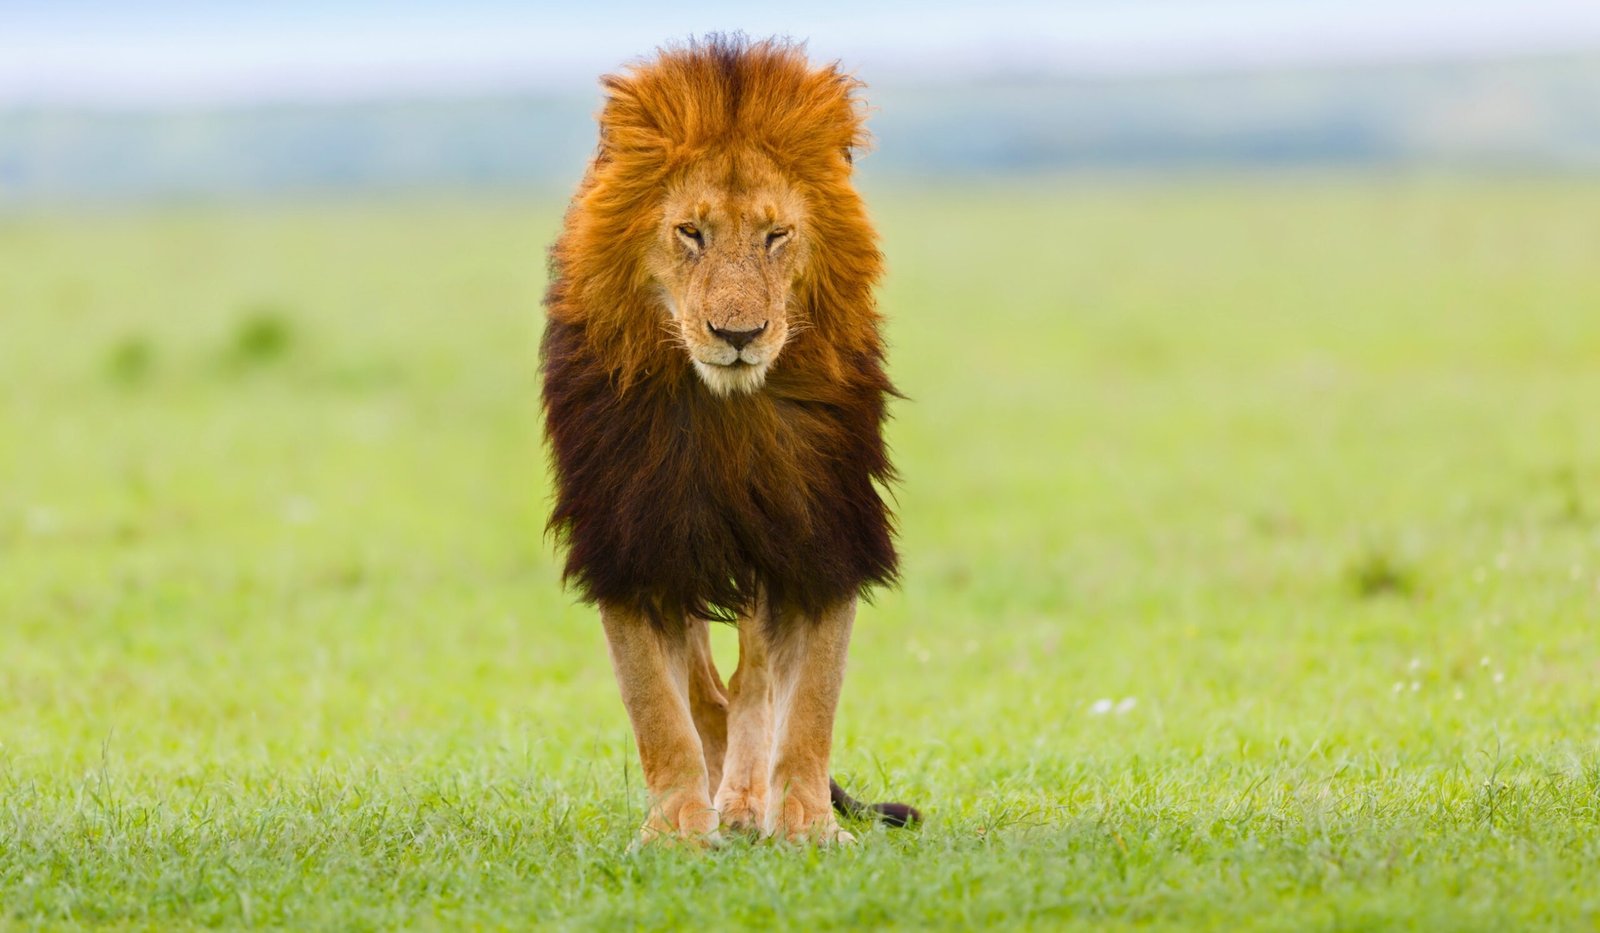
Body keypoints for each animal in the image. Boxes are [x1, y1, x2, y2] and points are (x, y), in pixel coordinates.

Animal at [541, 35, 917, 845]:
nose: (738, 334)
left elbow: (808, 701)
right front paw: (678, 829)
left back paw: (746, 798)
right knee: (708, 688)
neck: (725, 414)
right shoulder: (632, 537)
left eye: (777, 235)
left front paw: (806, 825)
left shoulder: (819, 530)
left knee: (751, 681)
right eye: (692, 232)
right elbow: (659, 706)